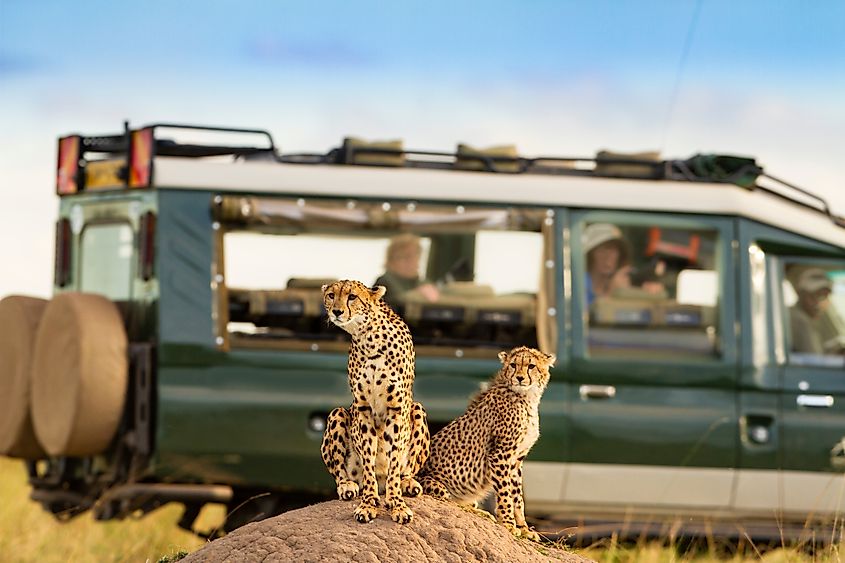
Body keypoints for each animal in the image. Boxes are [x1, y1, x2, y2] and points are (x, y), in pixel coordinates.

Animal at [320, 280, 432, 524]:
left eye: (352, 296)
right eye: (331, 295)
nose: (337, 311)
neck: (368, 339)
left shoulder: (396, 409)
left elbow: (393, 460)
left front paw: (397, 504)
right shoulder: (363, 409)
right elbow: (368, 459)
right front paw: (369, 503)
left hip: (417, 409)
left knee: (404, 469)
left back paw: (407, 483)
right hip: (338, 413)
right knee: (341, 471)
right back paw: (347, 486)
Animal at [420, 346, 552, 544]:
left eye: (531, 366)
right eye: (513, 365)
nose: (520, 378)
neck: (527, 397)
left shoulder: (517, 459)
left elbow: (518, 496)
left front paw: (524, 528)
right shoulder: (500, 454)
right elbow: (505, 492)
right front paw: (509, 525)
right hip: (435, 485)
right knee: (452, 503)